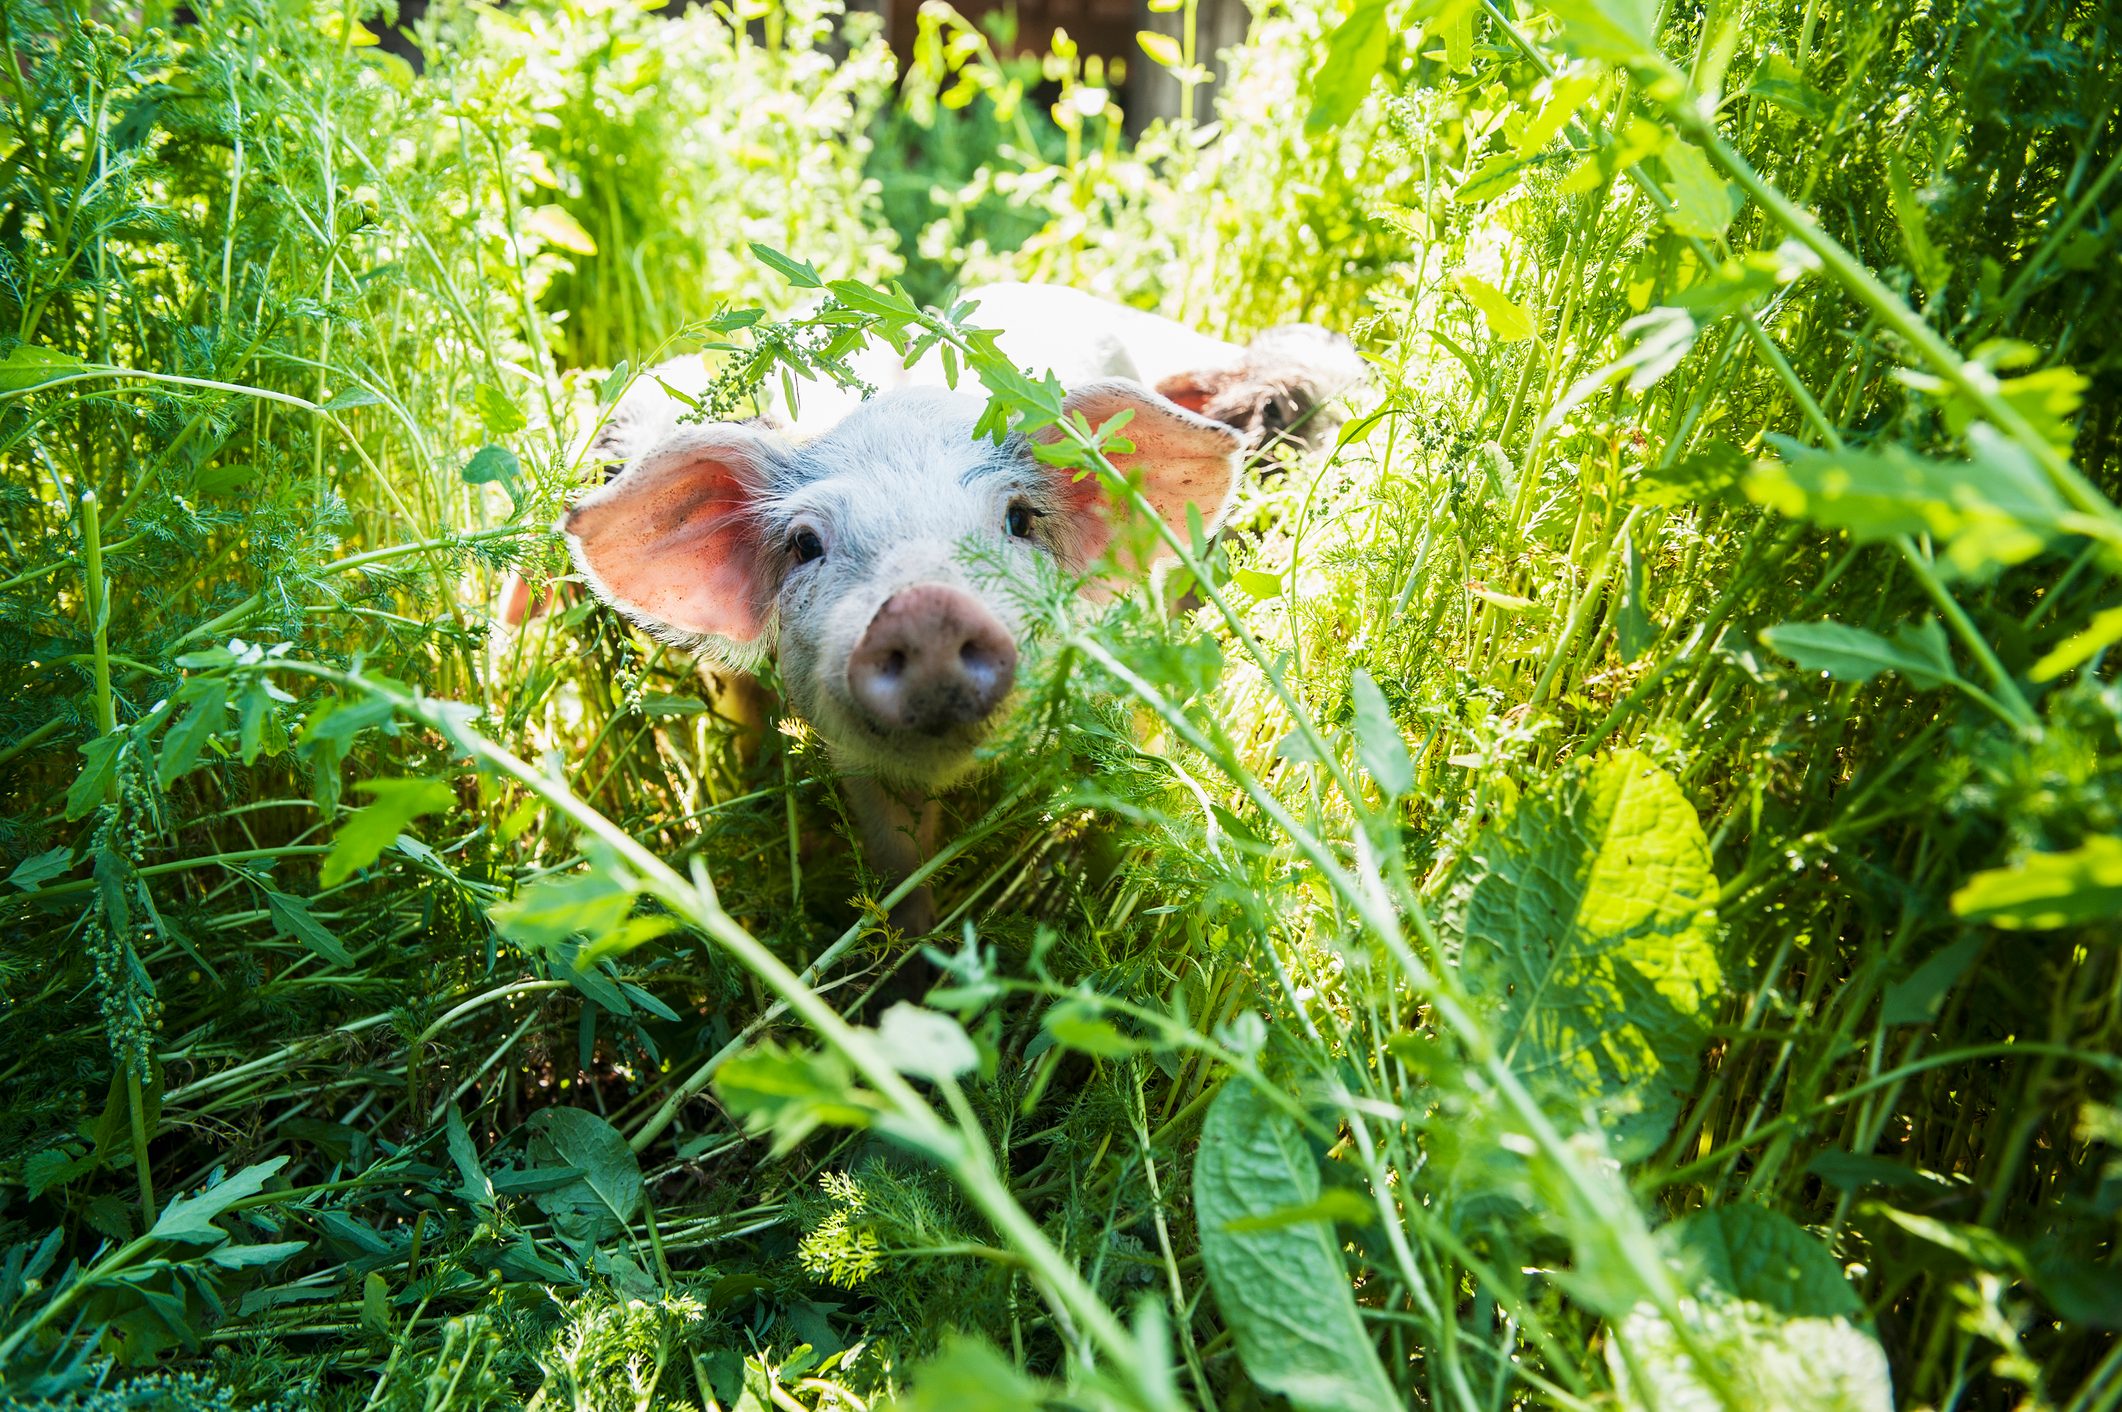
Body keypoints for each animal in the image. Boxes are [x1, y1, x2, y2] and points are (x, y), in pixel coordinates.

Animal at [559, 379, 1244, 933]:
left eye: (1020, 519)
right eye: (805, 544)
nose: (926, 609)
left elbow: (1131, 793)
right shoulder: (857, 762)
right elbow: (900, 870)